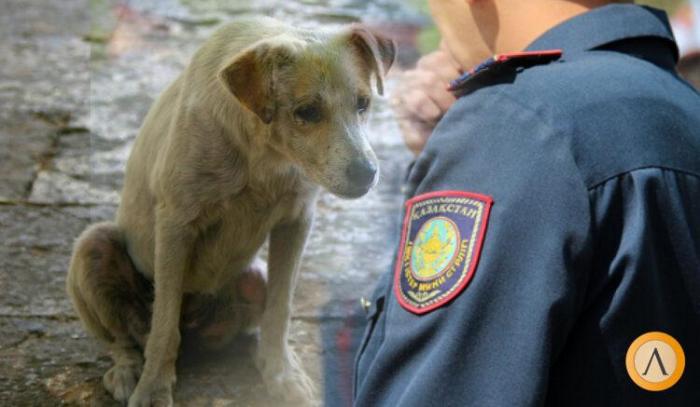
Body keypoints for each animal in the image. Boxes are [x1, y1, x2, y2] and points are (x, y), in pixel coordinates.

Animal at [67, 16, 394, 407]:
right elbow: (164, 324)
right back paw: (129, 371)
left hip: (254, 277)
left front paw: (282, 374)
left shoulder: (296, 221)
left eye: (363, 103)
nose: (367, 173)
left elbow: (280, 310)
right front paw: (153, 388)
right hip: (93, 246)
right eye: (307, 112)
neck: (264, 154)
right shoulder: (176, 224)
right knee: (125, 339)